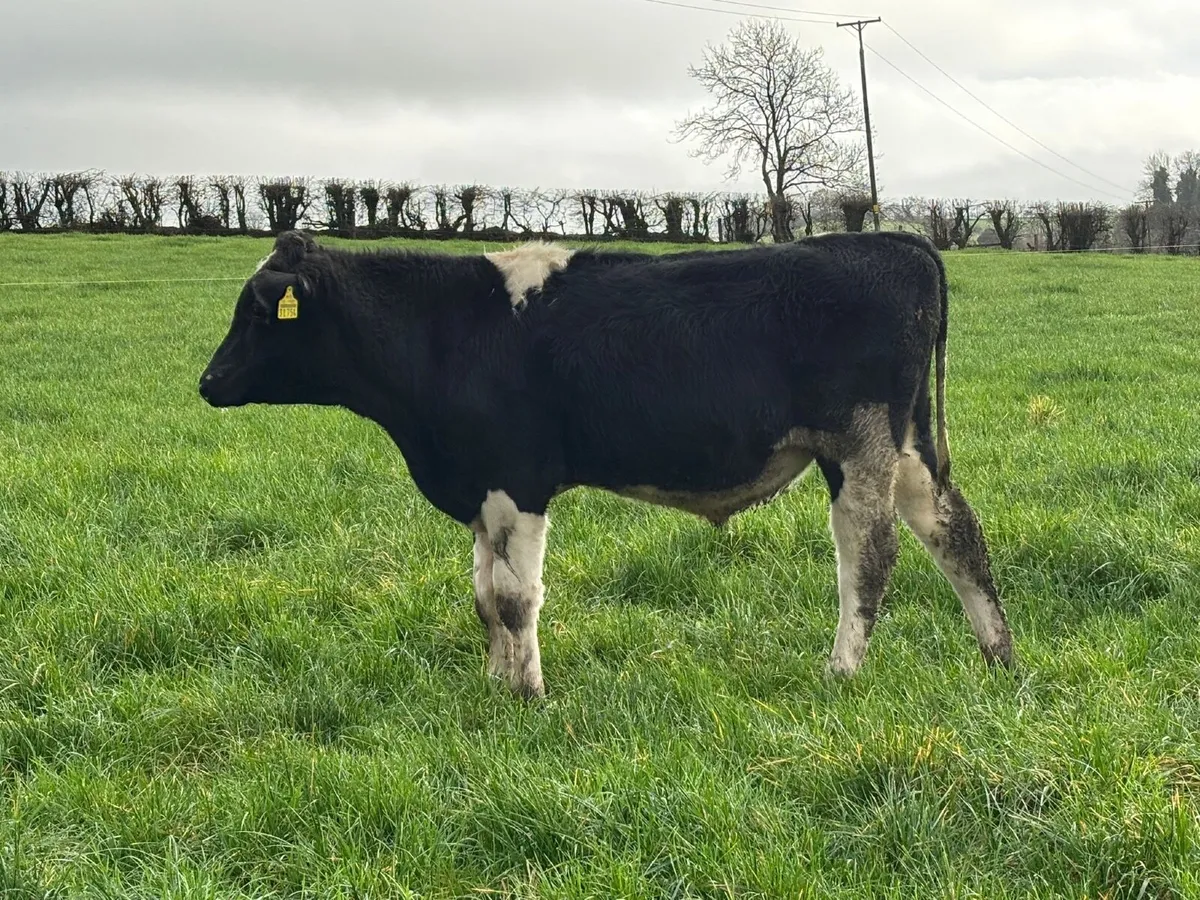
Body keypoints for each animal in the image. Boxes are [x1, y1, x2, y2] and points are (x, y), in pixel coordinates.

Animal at [199, 229, 1014, 699]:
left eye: (258, 310)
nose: (207, 382)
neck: (447, 332)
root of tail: (889, 240)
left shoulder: (518, 482)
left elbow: (516, 597)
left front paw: (527, 694)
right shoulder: (478, 487)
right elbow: (484, 595)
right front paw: (496, 680)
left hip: (859, 444)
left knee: (869, 556)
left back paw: (842, 671)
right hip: (907, 445)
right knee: (956, 534)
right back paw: (998, 656)